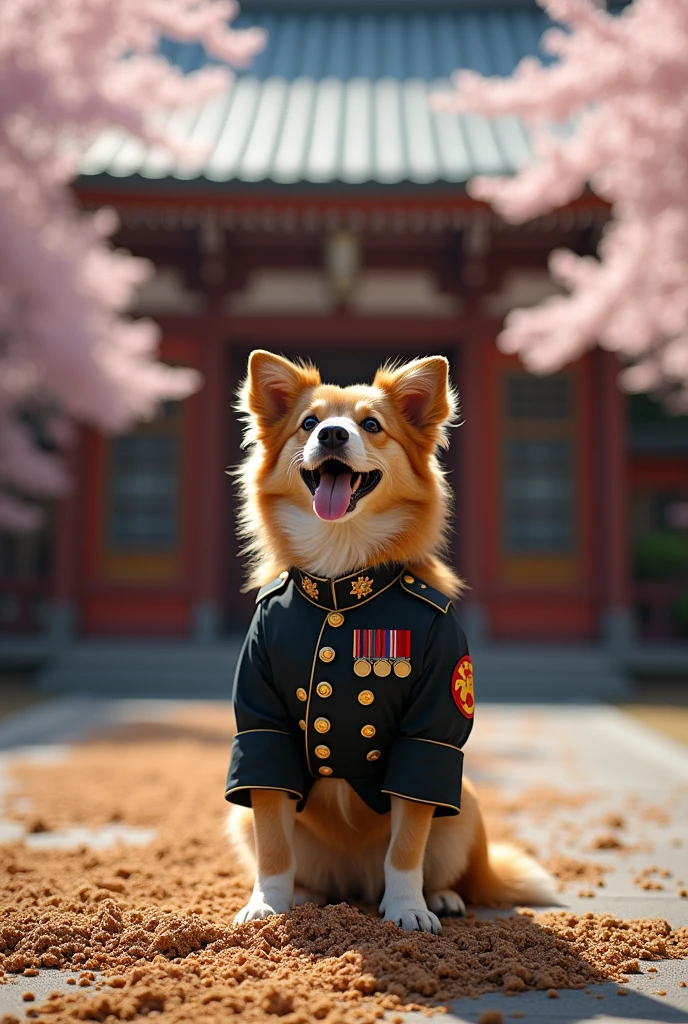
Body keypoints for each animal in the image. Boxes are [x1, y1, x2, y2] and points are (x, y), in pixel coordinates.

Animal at [224, 348, 552, 933]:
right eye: (309, 422)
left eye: (372, 425)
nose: (332, 434)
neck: (341, 578)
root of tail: (353, 884)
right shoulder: (262, 728)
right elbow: (273, 842)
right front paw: (267, 903)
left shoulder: (428, 733)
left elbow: (406, 845)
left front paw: (407, 909)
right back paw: (305, 895)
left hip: (463, 804)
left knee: (433, 858)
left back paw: (439, 896)